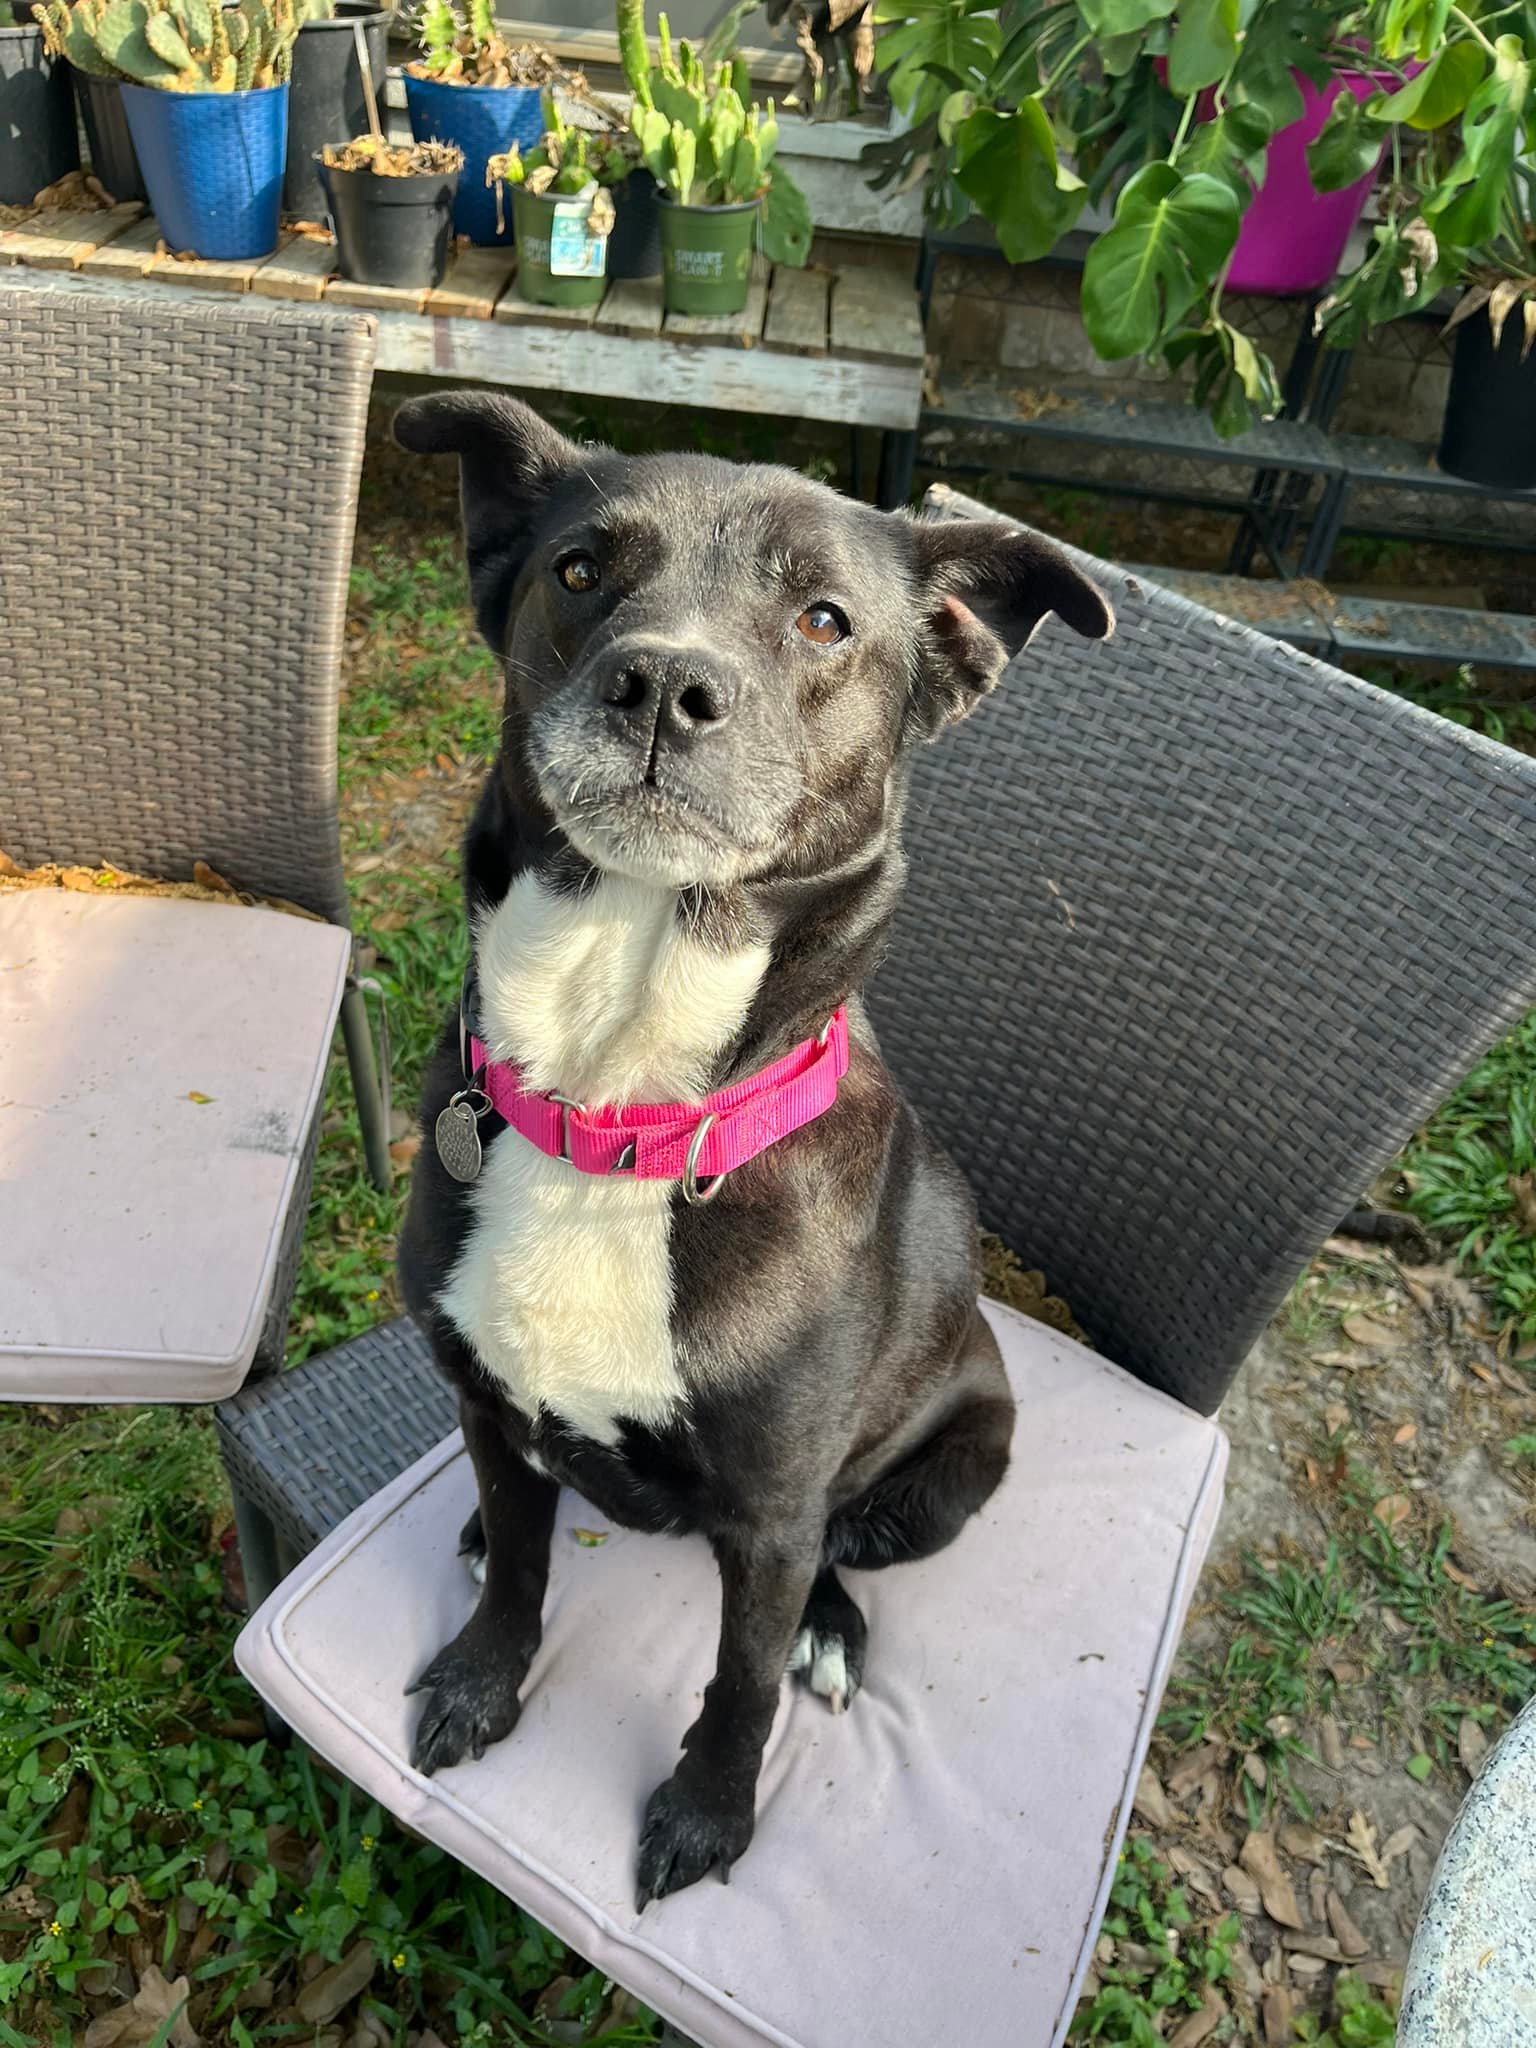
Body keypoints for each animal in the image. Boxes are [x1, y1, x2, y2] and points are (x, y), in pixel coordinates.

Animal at [391, 395, 1114, 1900]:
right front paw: (483, 1677)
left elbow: (739, 1682)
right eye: (579, 572)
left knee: (840, 1557)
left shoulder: (774, 1511)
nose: (664, 684)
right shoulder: (483, 1400)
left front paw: (708, 1815)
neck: (621, 1106)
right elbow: (522, 1576)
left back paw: (832, 1627)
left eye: (827, 620)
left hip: (957, 1458)